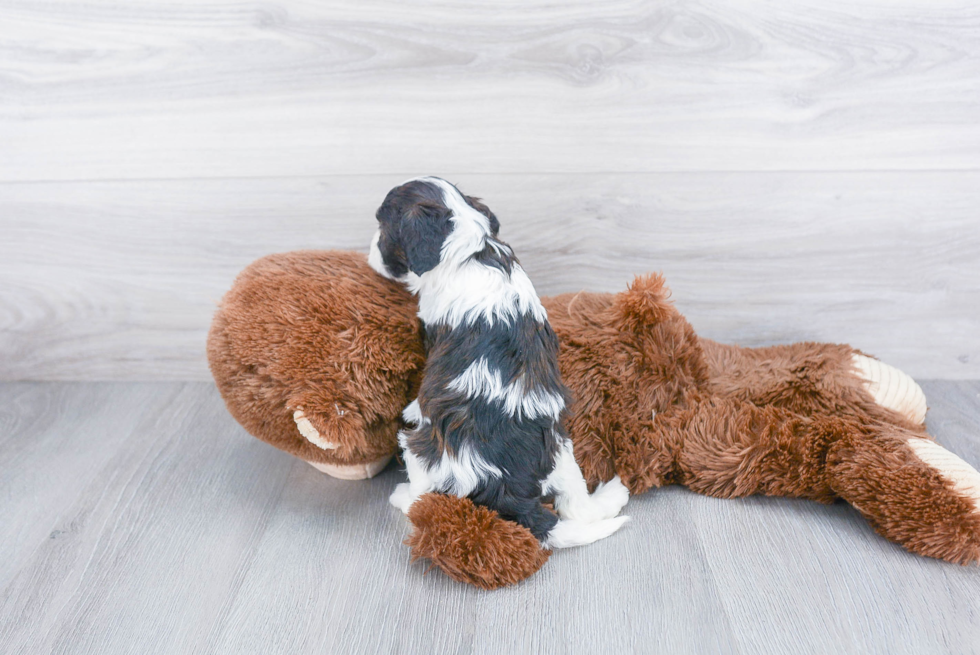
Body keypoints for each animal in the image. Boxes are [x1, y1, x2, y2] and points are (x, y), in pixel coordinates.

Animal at [368, 176, 628, 548]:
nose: (370, 253)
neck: (472, 253)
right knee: (576, 508)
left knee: (422, 497)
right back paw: (612, 496)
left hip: (421, 447)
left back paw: (402, 495)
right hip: (561, 449)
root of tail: (508, 489)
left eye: (382, 228)